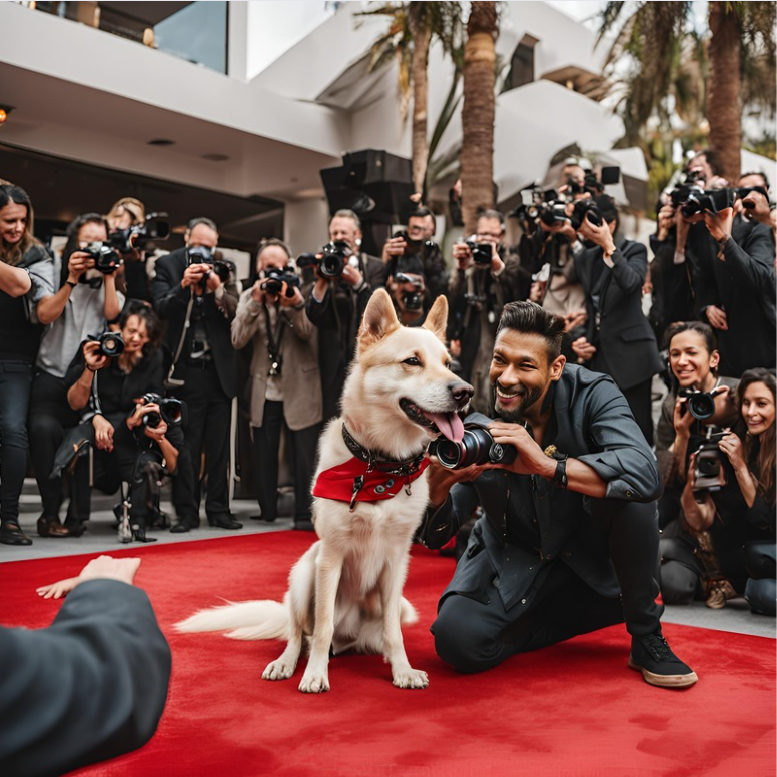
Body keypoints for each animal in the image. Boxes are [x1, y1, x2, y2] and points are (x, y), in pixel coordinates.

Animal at [179, 290, 470, 692]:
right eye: (412, 361)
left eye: (448, 363)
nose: (465, 392)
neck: (378, 466)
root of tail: (349, 640)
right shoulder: (331, 556)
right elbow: (321, 626)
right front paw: (315, 673)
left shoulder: (397, 562)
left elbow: (393, 631)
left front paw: (401, 670)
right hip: (305, 573)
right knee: (298, 633)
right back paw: (287, 663)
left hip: (399, 603)